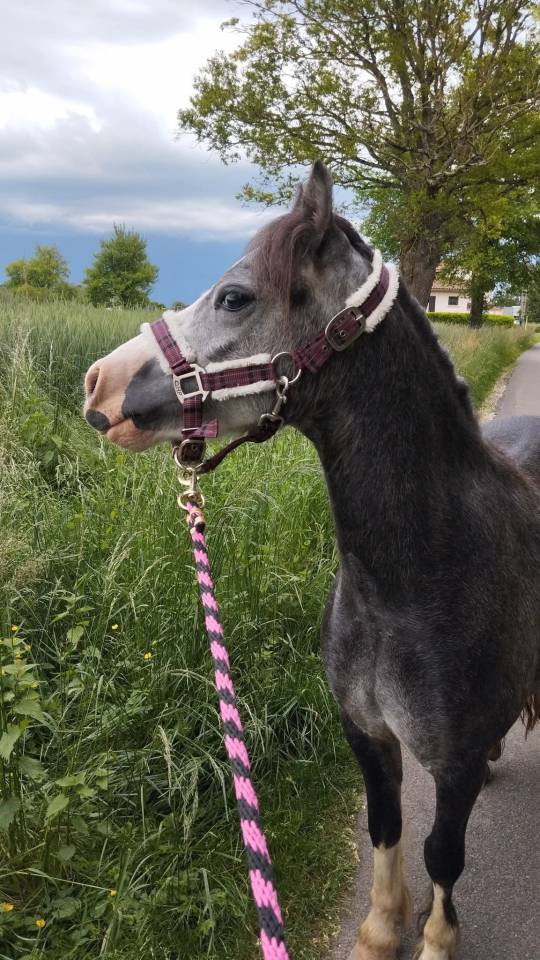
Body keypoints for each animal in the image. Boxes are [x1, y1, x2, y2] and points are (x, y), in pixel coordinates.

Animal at [83, 162, 540, 960]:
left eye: (235, 296)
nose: (97, 384)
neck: (415, 584)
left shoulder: (449, 769)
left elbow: (442, 856)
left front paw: (435, 938)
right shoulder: (367, 735)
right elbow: (386, 827)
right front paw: (380, 931)